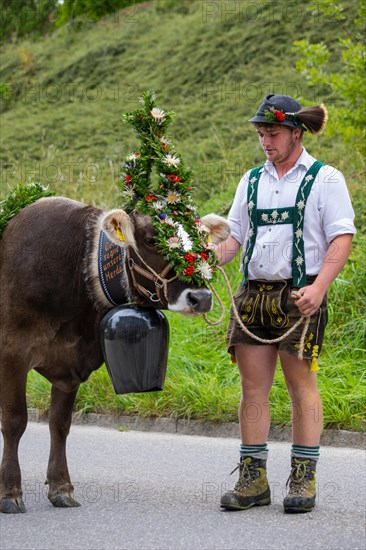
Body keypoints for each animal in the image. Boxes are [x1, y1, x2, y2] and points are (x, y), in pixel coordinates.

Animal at [0, 197, 229, 512]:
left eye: (202, 240)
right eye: (151, 239)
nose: (201, 298)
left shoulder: (69, 367)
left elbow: (60, 424)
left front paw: (61, 488)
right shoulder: (13, 354)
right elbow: (14, 422)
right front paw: (10, 493)